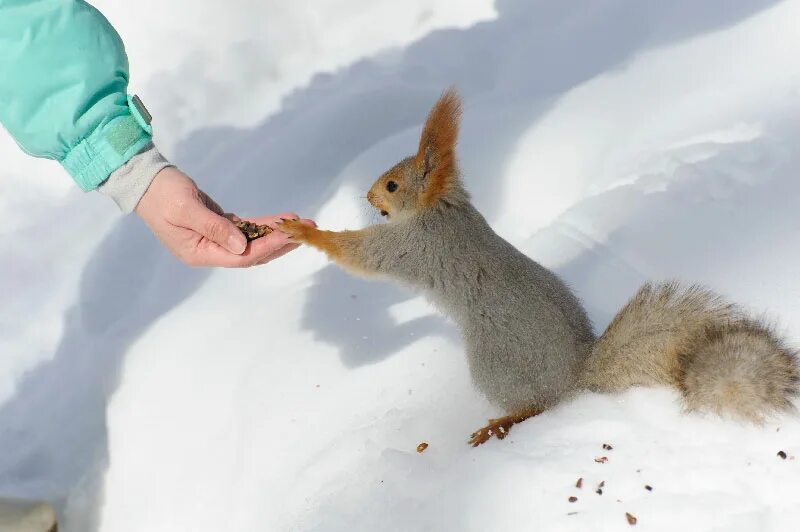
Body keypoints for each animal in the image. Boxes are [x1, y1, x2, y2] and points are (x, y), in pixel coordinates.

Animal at [278, 88, 796, 444]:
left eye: (391, 185)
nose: (367, 196)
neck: (440, 209)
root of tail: (575, 374)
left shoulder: (412, 246)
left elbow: (361, 256)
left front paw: (304, 232)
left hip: (494, 363)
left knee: (539, 406)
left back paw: (502, 421)